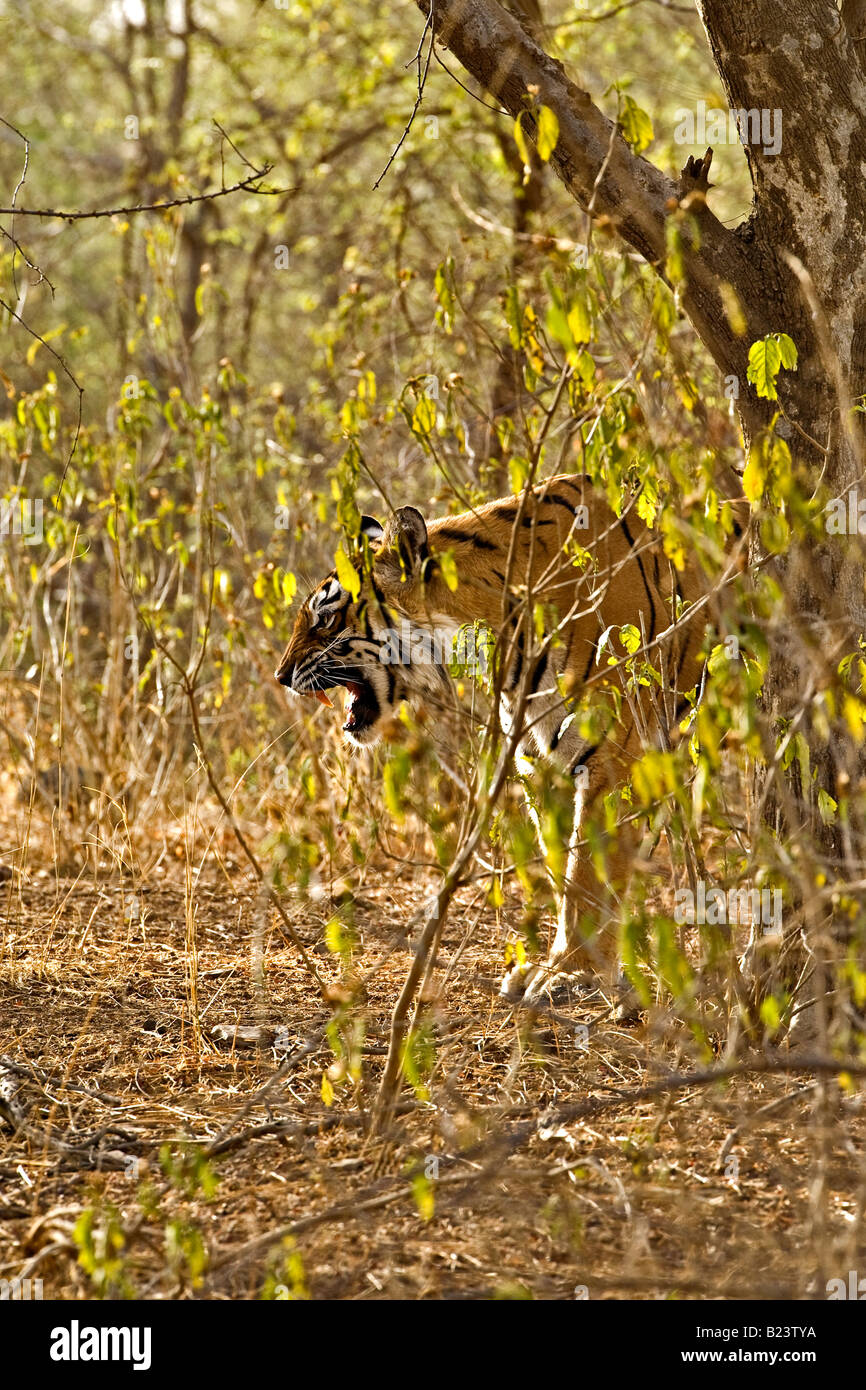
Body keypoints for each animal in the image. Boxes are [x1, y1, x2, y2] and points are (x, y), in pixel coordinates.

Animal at [273, 472, 733, 1006]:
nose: (281, 676)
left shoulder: (614, 758)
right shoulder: (542, 764)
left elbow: (587, 875)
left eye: (324, 617)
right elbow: (562, 870)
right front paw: (555, 966)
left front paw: (570, 975)